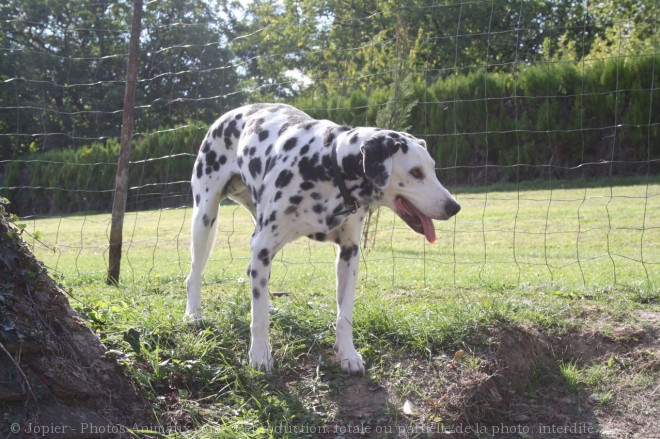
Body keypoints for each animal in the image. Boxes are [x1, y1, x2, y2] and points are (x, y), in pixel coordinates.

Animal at [186, 104, 458, 374]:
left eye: (432, 168)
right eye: (416, 172)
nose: (454, 207)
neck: (327, 166)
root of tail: (227, 115)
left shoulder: (349, 253)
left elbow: (344, 315)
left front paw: (348, 354)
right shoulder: (262, 246)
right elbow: (259, 320)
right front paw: (260, 355)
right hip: (205, 219)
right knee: (194, 275)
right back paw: (193, 314)